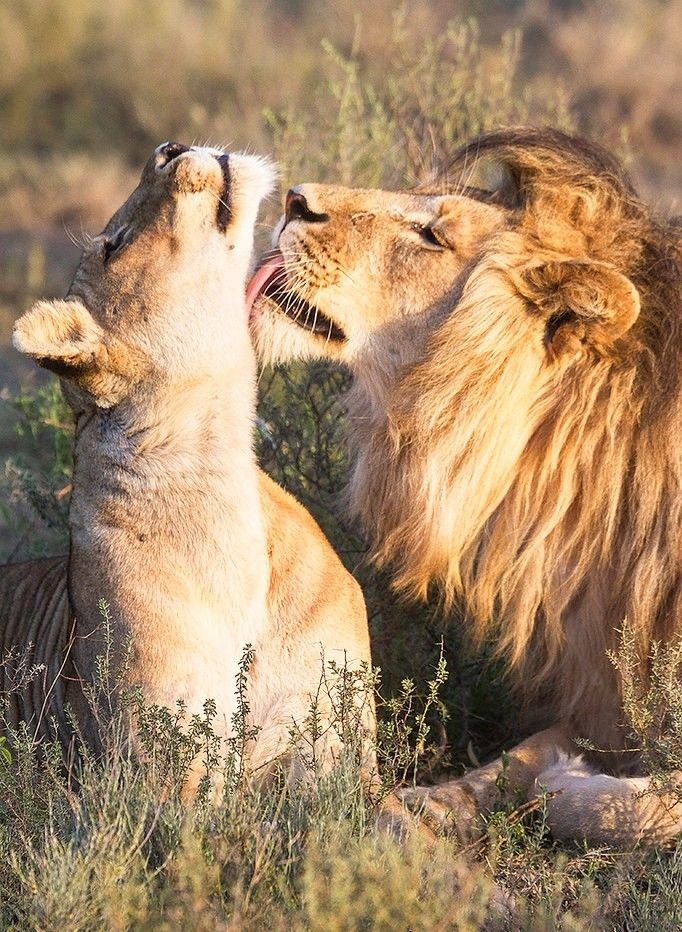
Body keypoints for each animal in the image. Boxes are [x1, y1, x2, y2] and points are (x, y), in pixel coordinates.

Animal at [249, 127, 682, 846]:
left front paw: (567, 782)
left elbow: (611, 803)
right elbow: (516, 755)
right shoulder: (602, 689)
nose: (293, 199)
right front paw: (421, 805)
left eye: (432, 235)